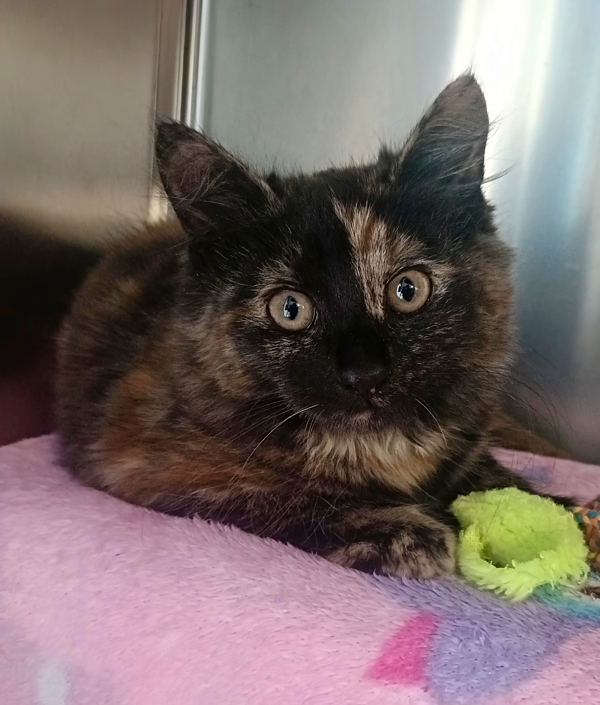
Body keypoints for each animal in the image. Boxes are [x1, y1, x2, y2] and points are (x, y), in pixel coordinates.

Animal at [56, 74, 560, 579]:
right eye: (290, 308)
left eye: (408, 290)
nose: (364, 373)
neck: (379, 444)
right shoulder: (143, 458)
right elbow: (282, 490)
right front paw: (399, 529)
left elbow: (487, 474)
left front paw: (557, 509)